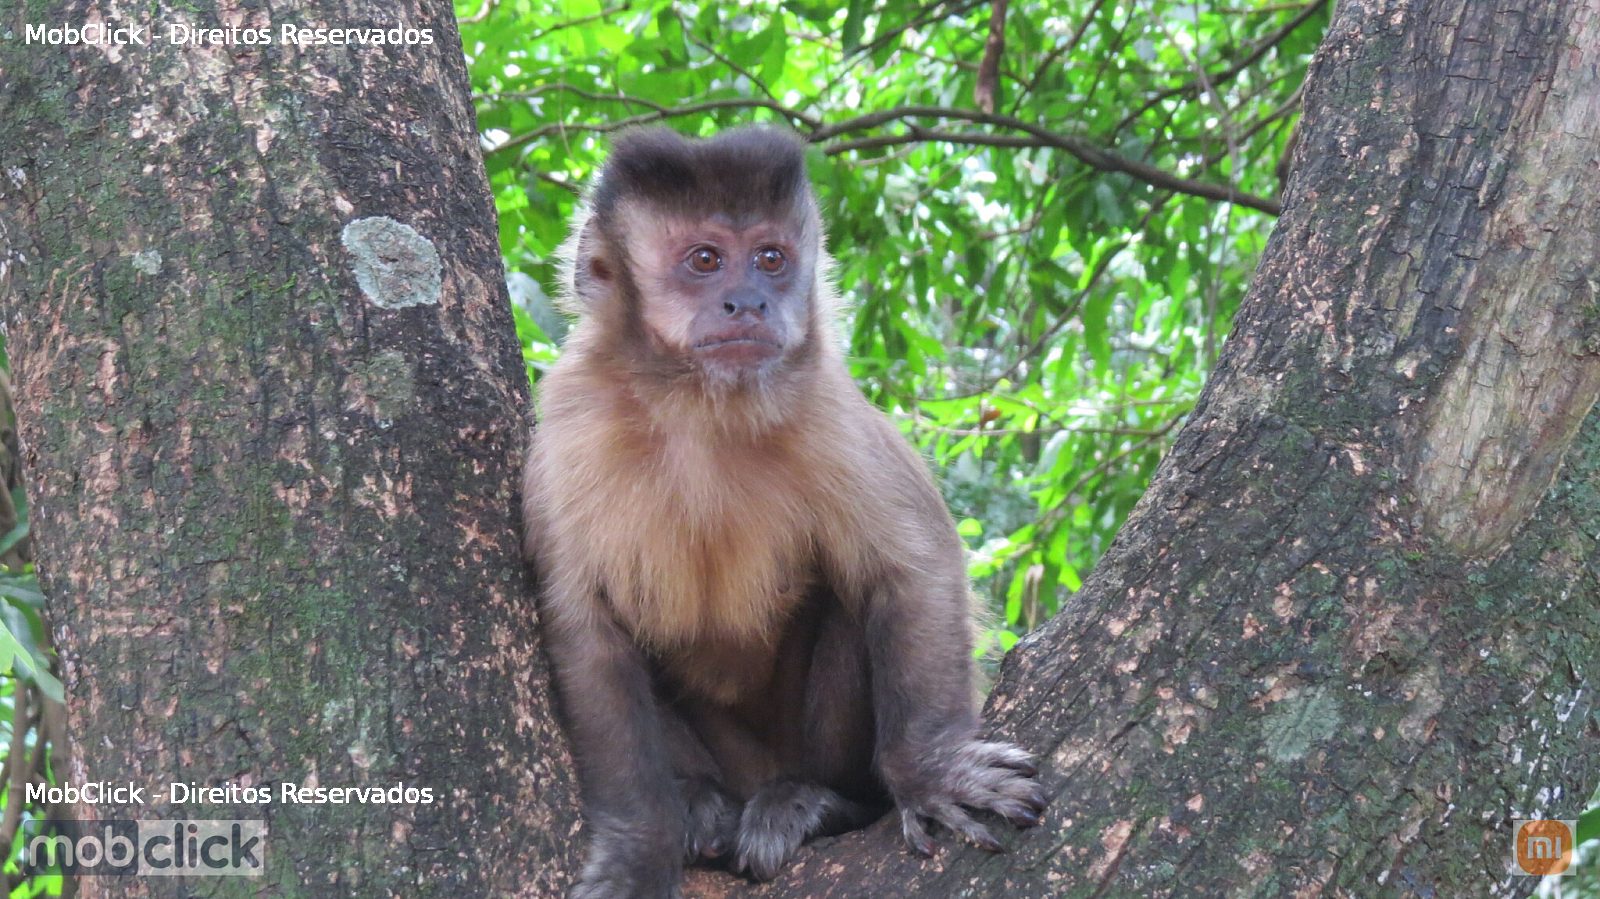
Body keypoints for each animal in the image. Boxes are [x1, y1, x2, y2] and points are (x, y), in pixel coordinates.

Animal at [522, 126, 1048, 899]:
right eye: (706, 260)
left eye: (771, 259)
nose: (749, 303)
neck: (696, 400)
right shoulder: (569, 419)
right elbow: (587, 631)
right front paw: (639, 849)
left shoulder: (824, 399)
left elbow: (911, 567)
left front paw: (931, 771)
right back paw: (702, 801)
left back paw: (821, 800)